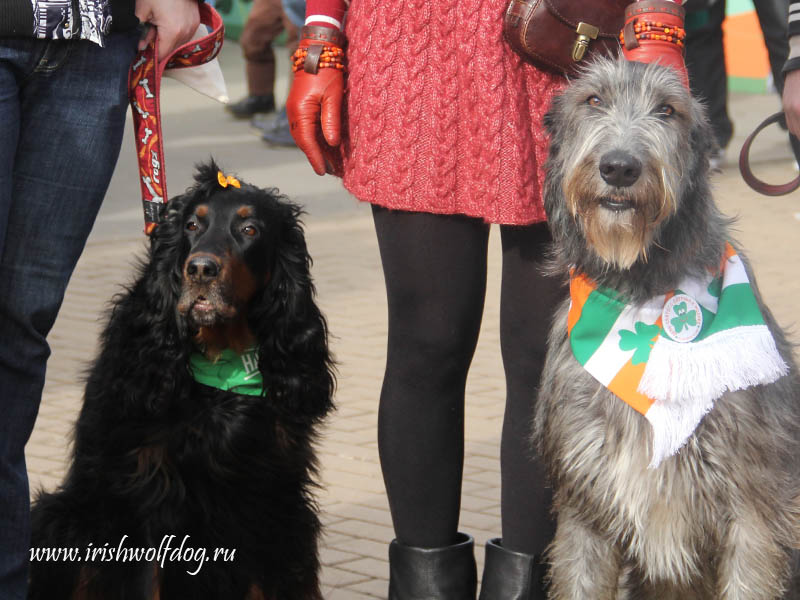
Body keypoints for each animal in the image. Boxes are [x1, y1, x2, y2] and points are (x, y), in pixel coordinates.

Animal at [28, 162, 334, 596]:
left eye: (249, 229)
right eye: (192, 224)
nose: (201, 269)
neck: (221, 368)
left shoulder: (273, 500)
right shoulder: (145, 500)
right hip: (63, 518)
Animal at [536, 56, 800, 600]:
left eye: (667, 110)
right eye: (593, 99)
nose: (619, 167)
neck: (641, 291)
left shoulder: (752, 507)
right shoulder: (584, 503)